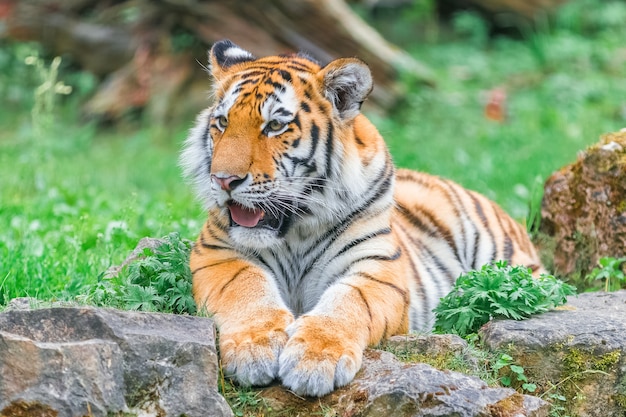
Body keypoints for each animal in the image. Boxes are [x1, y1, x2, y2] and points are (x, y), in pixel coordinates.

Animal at [180, 39, 540, 396]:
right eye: (223, 122)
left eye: (275, 126)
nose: (223, 180)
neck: (295, 230)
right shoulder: (218, 253)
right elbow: (247, 289)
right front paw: (254, 348)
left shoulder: (377, 268)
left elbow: (347, 302)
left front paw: (315, 360)